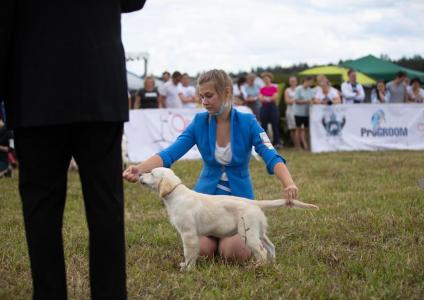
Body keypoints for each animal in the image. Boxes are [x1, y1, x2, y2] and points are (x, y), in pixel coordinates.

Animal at [139, 166, 318, 270]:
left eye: (151, 173)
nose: (139, 173)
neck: (176, 195)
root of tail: (253, 202)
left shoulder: (188, 234)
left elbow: (189, 252)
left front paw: (187, 269)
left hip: (248, 234)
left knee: (261, 251)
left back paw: (258, 267)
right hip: (258, 232)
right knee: (270, 247)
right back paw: (272, 264)